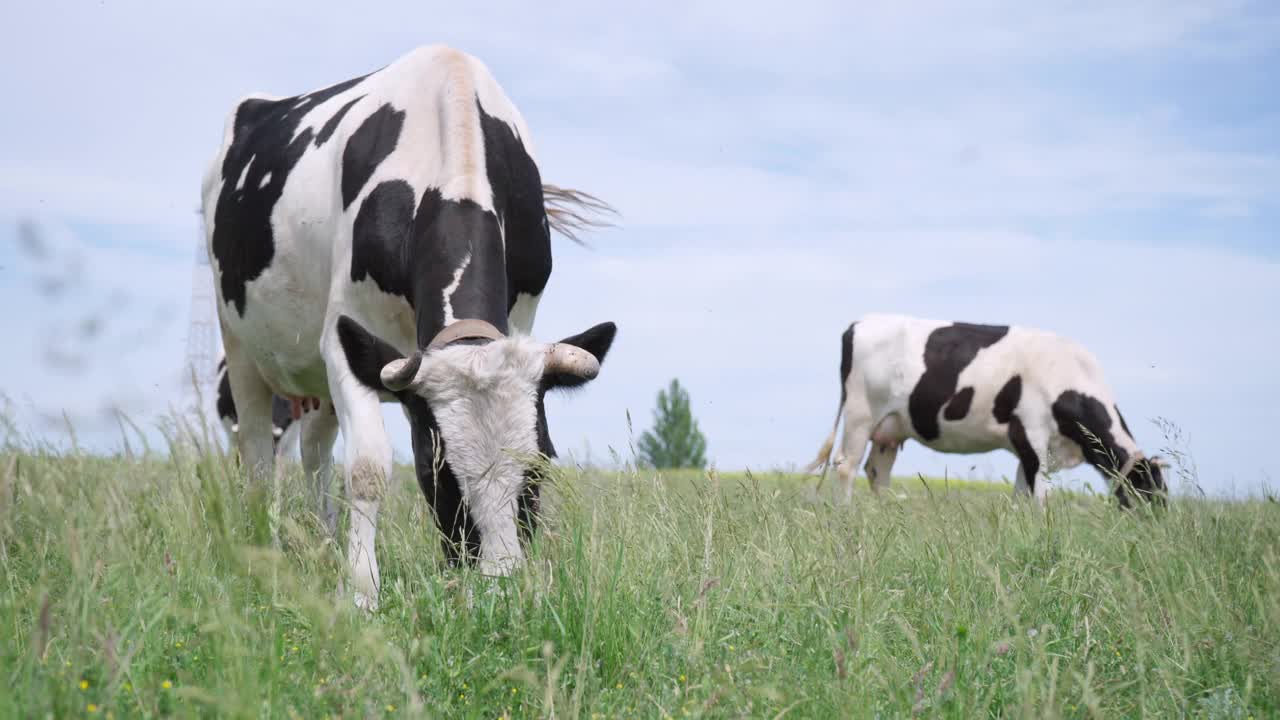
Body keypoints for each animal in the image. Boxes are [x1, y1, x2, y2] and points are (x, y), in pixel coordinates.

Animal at [199, 43, 614, 604]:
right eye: (436, 469)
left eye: (541, 464)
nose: (501, 588)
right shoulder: (345, 337)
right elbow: (368, 467)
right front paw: (361, 592)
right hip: (239, 344)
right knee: (260, 458)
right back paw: (264, 549)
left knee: (313, 452)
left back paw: (324, 544)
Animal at [803, 312, 1167, 504]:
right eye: (1150, 492)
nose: (1157, 525)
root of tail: (862, 322)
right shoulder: (1032, 434)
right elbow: (1040, 496)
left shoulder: (1026, 449)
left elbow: (1022, 493)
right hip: (860, 414)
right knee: (846, 467)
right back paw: (847, 514)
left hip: (889, 428)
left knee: (877, 472)